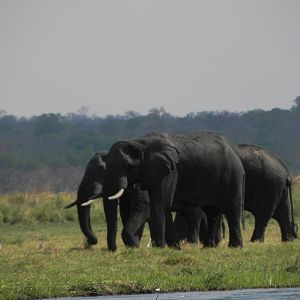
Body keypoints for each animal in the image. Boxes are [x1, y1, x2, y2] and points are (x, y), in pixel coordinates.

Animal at [104, 132, 245, 248]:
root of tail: (233, 150)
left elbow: (160, 204)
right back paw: (209, 247)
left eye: (128, 166)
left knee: (232, 209)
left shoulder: (170, 171)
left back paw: (235, 246)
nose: (114, 249)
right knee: (212, 212)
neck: (139, 142)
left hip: (233, 175)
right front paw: (174, 247)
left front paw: (161, 247)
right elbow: (162, 205)